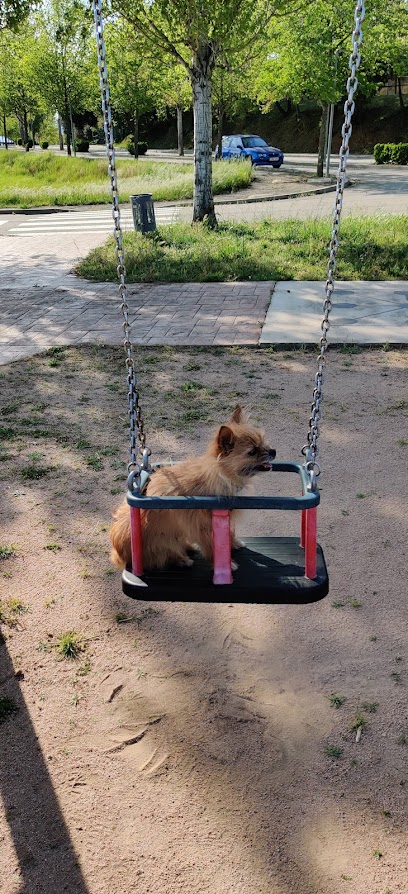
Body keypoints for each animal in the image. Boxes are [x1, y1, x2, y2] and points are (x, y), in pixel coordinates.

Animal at [109, 408, 274, 576]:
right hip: (161, 542)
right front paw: (225, 565)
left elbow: (229, 532)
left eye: (263, 441)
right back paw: (181, 559)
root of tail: (119, 555)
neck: (220, 475)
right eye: (252, 452)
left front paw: (233, 543)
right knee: (164, 555)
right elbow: (212, 546)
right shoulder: (204, 526)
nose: (273, 451)